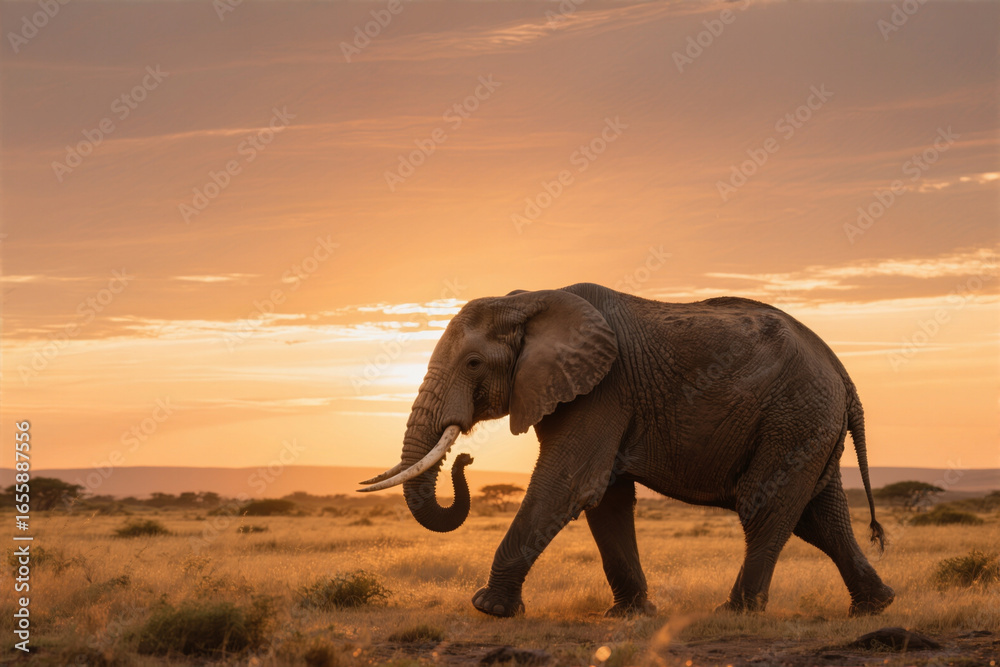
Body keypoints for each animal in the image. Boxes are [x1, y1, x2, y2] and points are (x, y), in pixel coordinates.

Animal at [359, 282, 894, 619]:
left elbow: (568, 485)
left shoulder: (604, 389)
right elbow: (606, 499)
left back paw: (736, 612)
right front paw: (629, 615)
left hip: (795, 415)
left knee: (764, 504)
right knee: (820, 516)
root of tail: (842, 372)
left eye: (472, 363)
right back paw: (875, 606)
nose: (466, 458)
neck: (529, 300)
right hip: (809, 424)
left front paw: (488, 608)